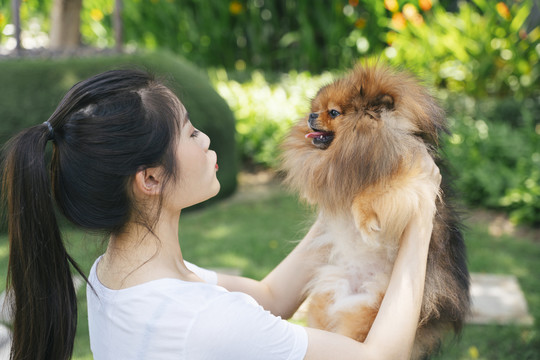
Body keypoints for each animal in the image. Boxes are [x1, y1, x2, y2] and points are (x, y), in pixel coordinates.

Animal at [280, 63, 470, 358]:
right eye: (316, 108)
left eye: (333, 112)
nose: (311, 115)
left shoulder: (413, 179)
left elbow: (375, 192)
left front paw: (366, 221)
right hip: (327, 302)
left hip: (367, 313)